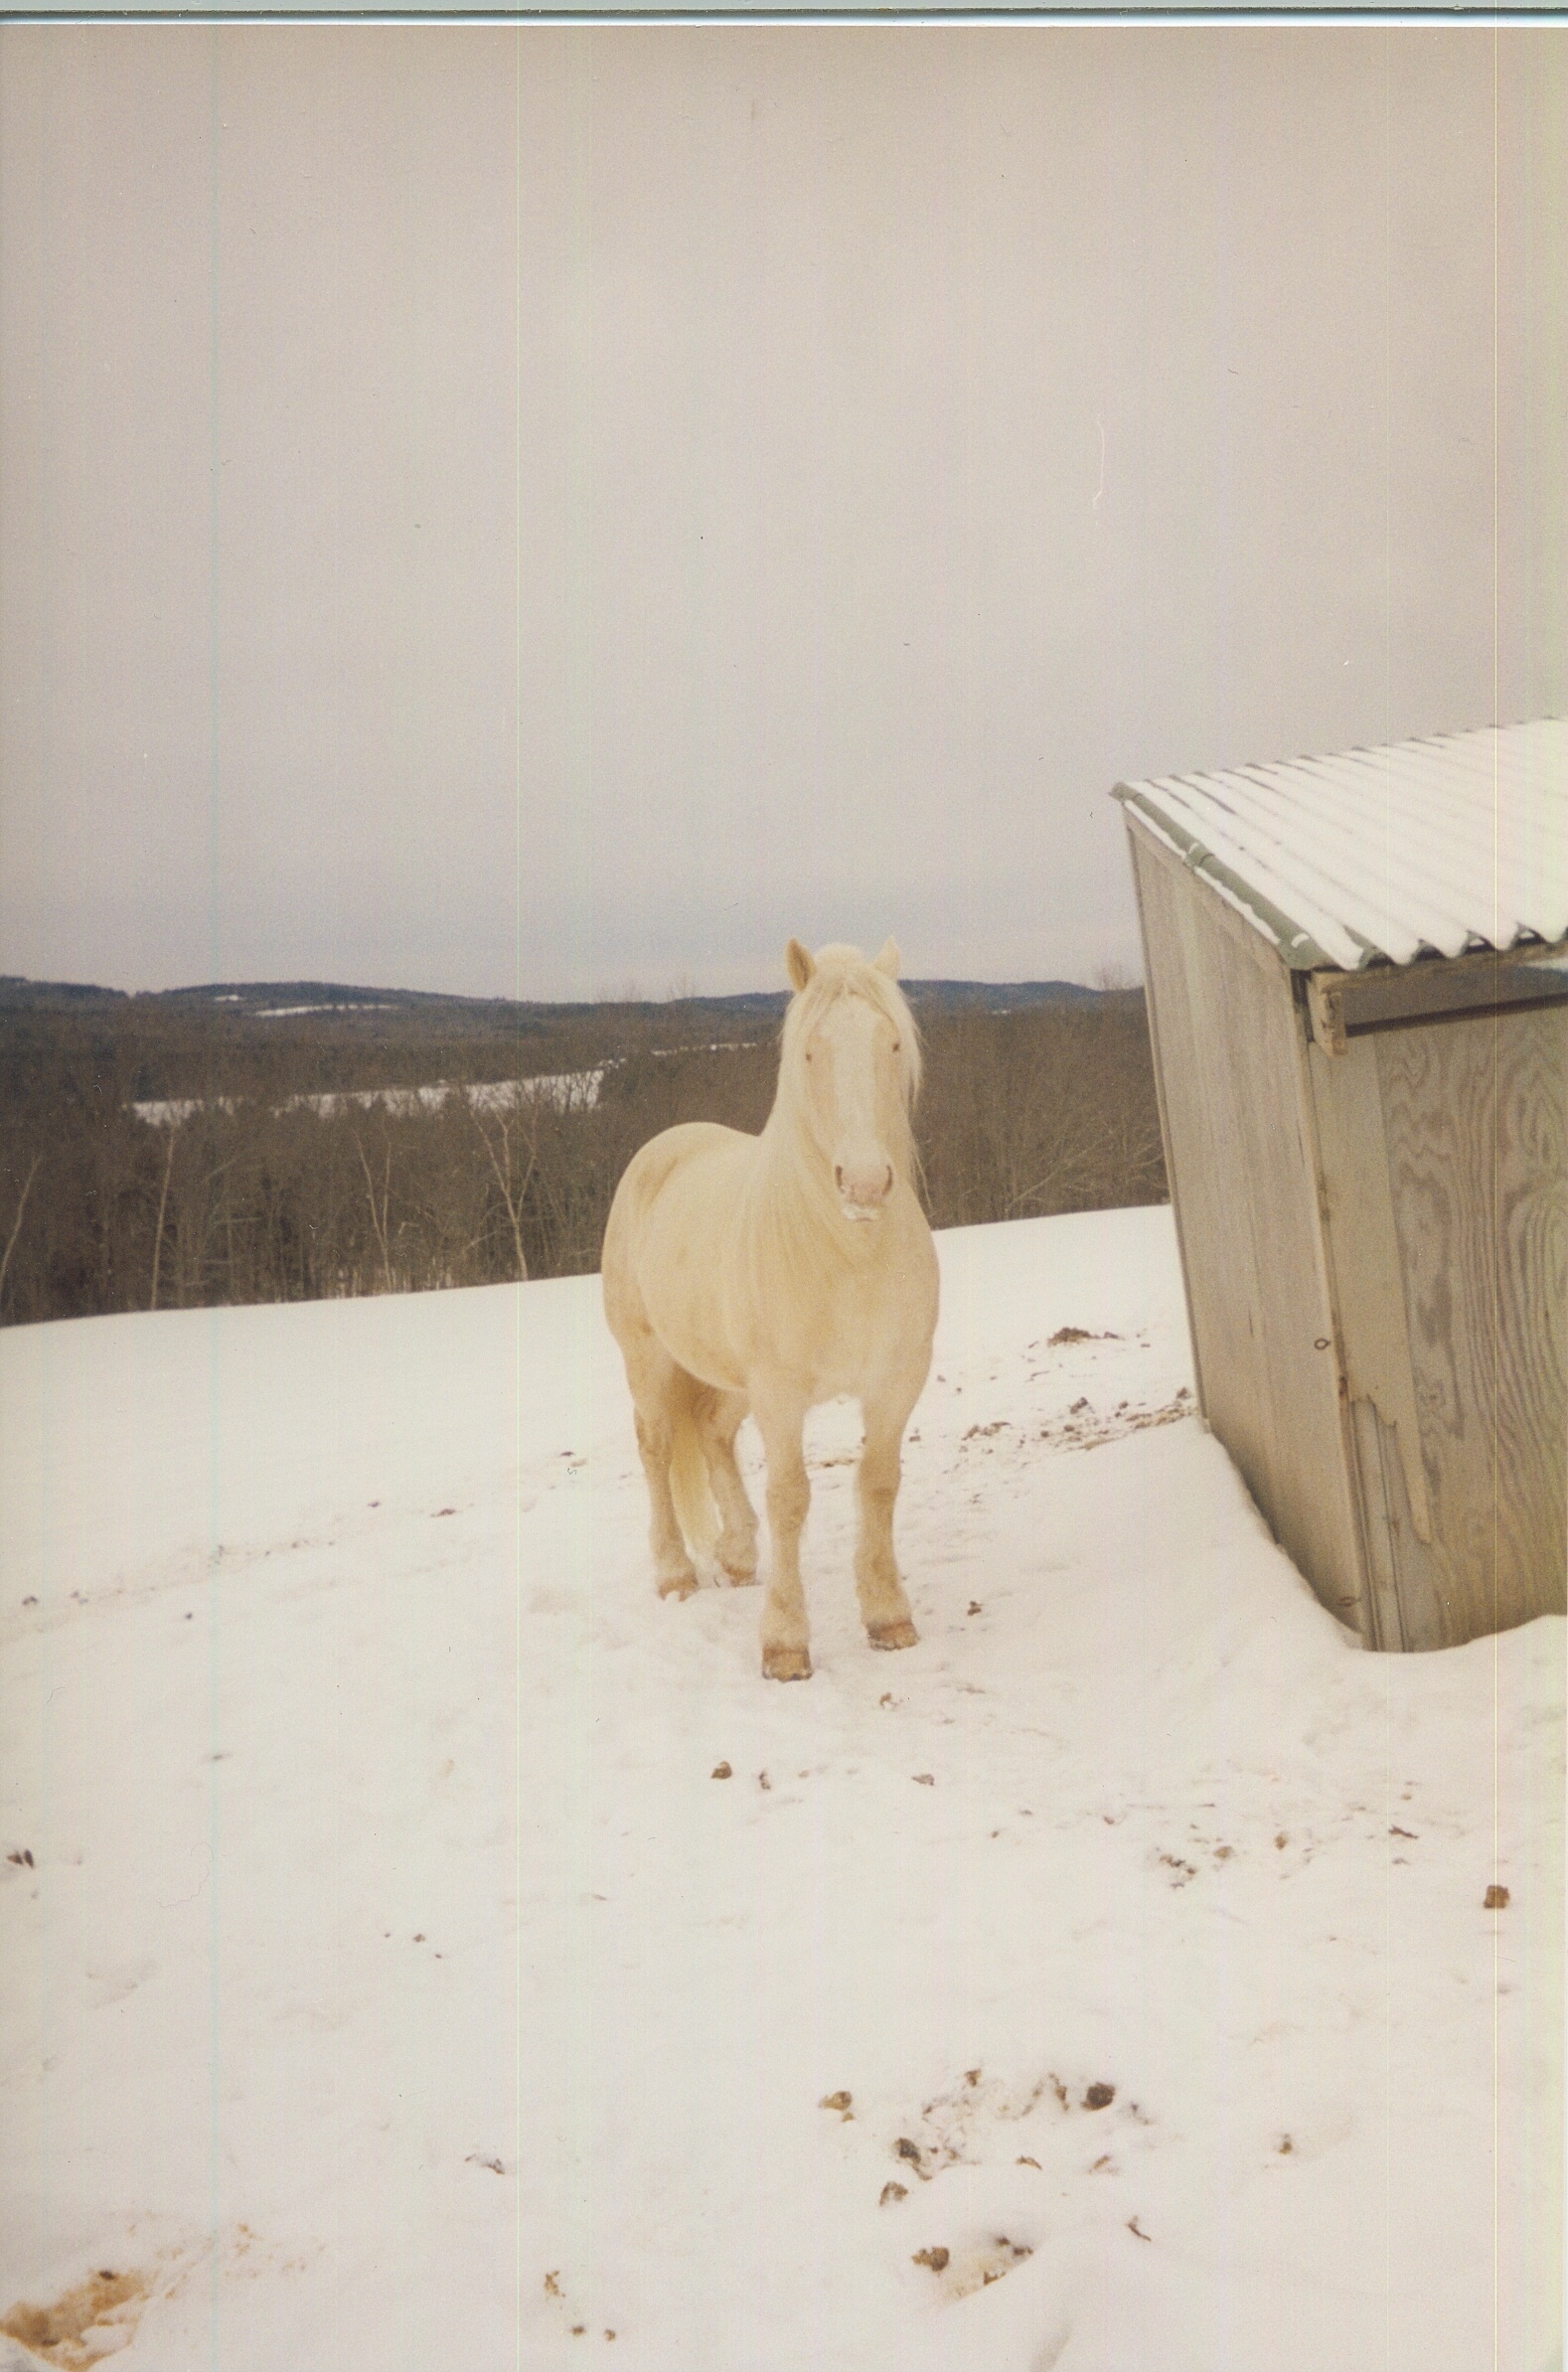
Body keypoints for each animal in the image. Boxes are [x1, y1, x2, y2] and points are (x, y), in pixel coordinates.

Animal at [601, 937, 940, 1680]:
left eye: (891, 1043)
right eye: (811, 1050)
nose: (864, 1184)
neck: (847, 1254)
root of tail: (662, 1147)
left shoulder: (895, 1384)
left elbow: (879, 1483)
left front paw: (888, 1616)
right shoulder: (781, 1394)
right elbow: (790, 1498)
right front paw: (785, 1644)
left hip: (729, 1379)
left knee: (713, 1435)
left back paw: (735, 1555)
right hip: (650, 1360)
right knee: (657, 1446)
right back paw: (675, 1573)